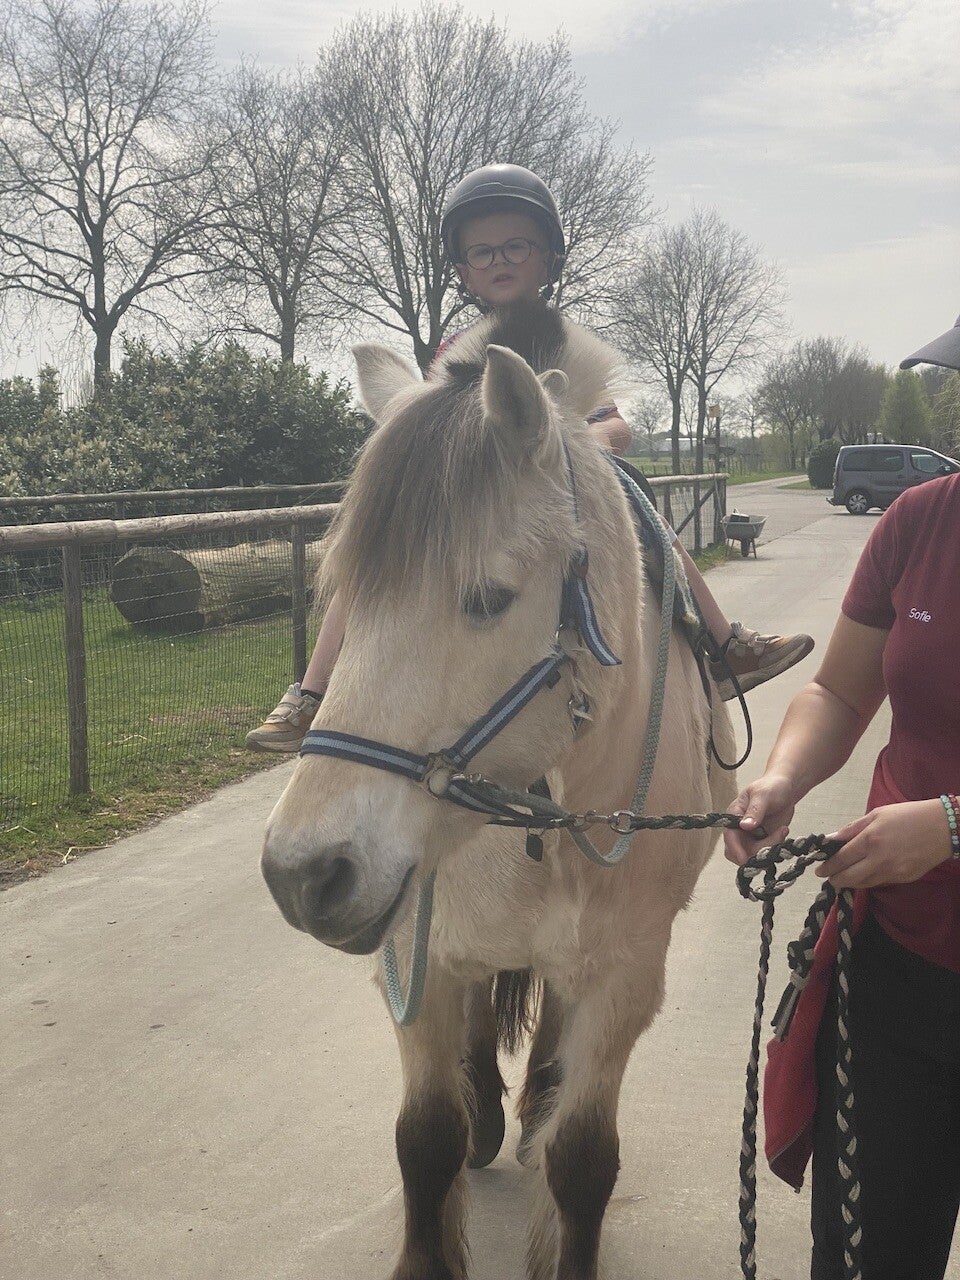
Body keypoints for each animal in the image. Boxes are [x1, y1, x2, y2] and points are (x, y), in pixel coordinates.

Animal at [261, 301, 736, 1280]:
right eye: (344, 598)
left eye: (487, 597)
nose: (302, 873)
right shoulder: (416, 950)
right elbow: (424, 1140)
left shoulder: (624, 975)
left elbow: (584, 1161)